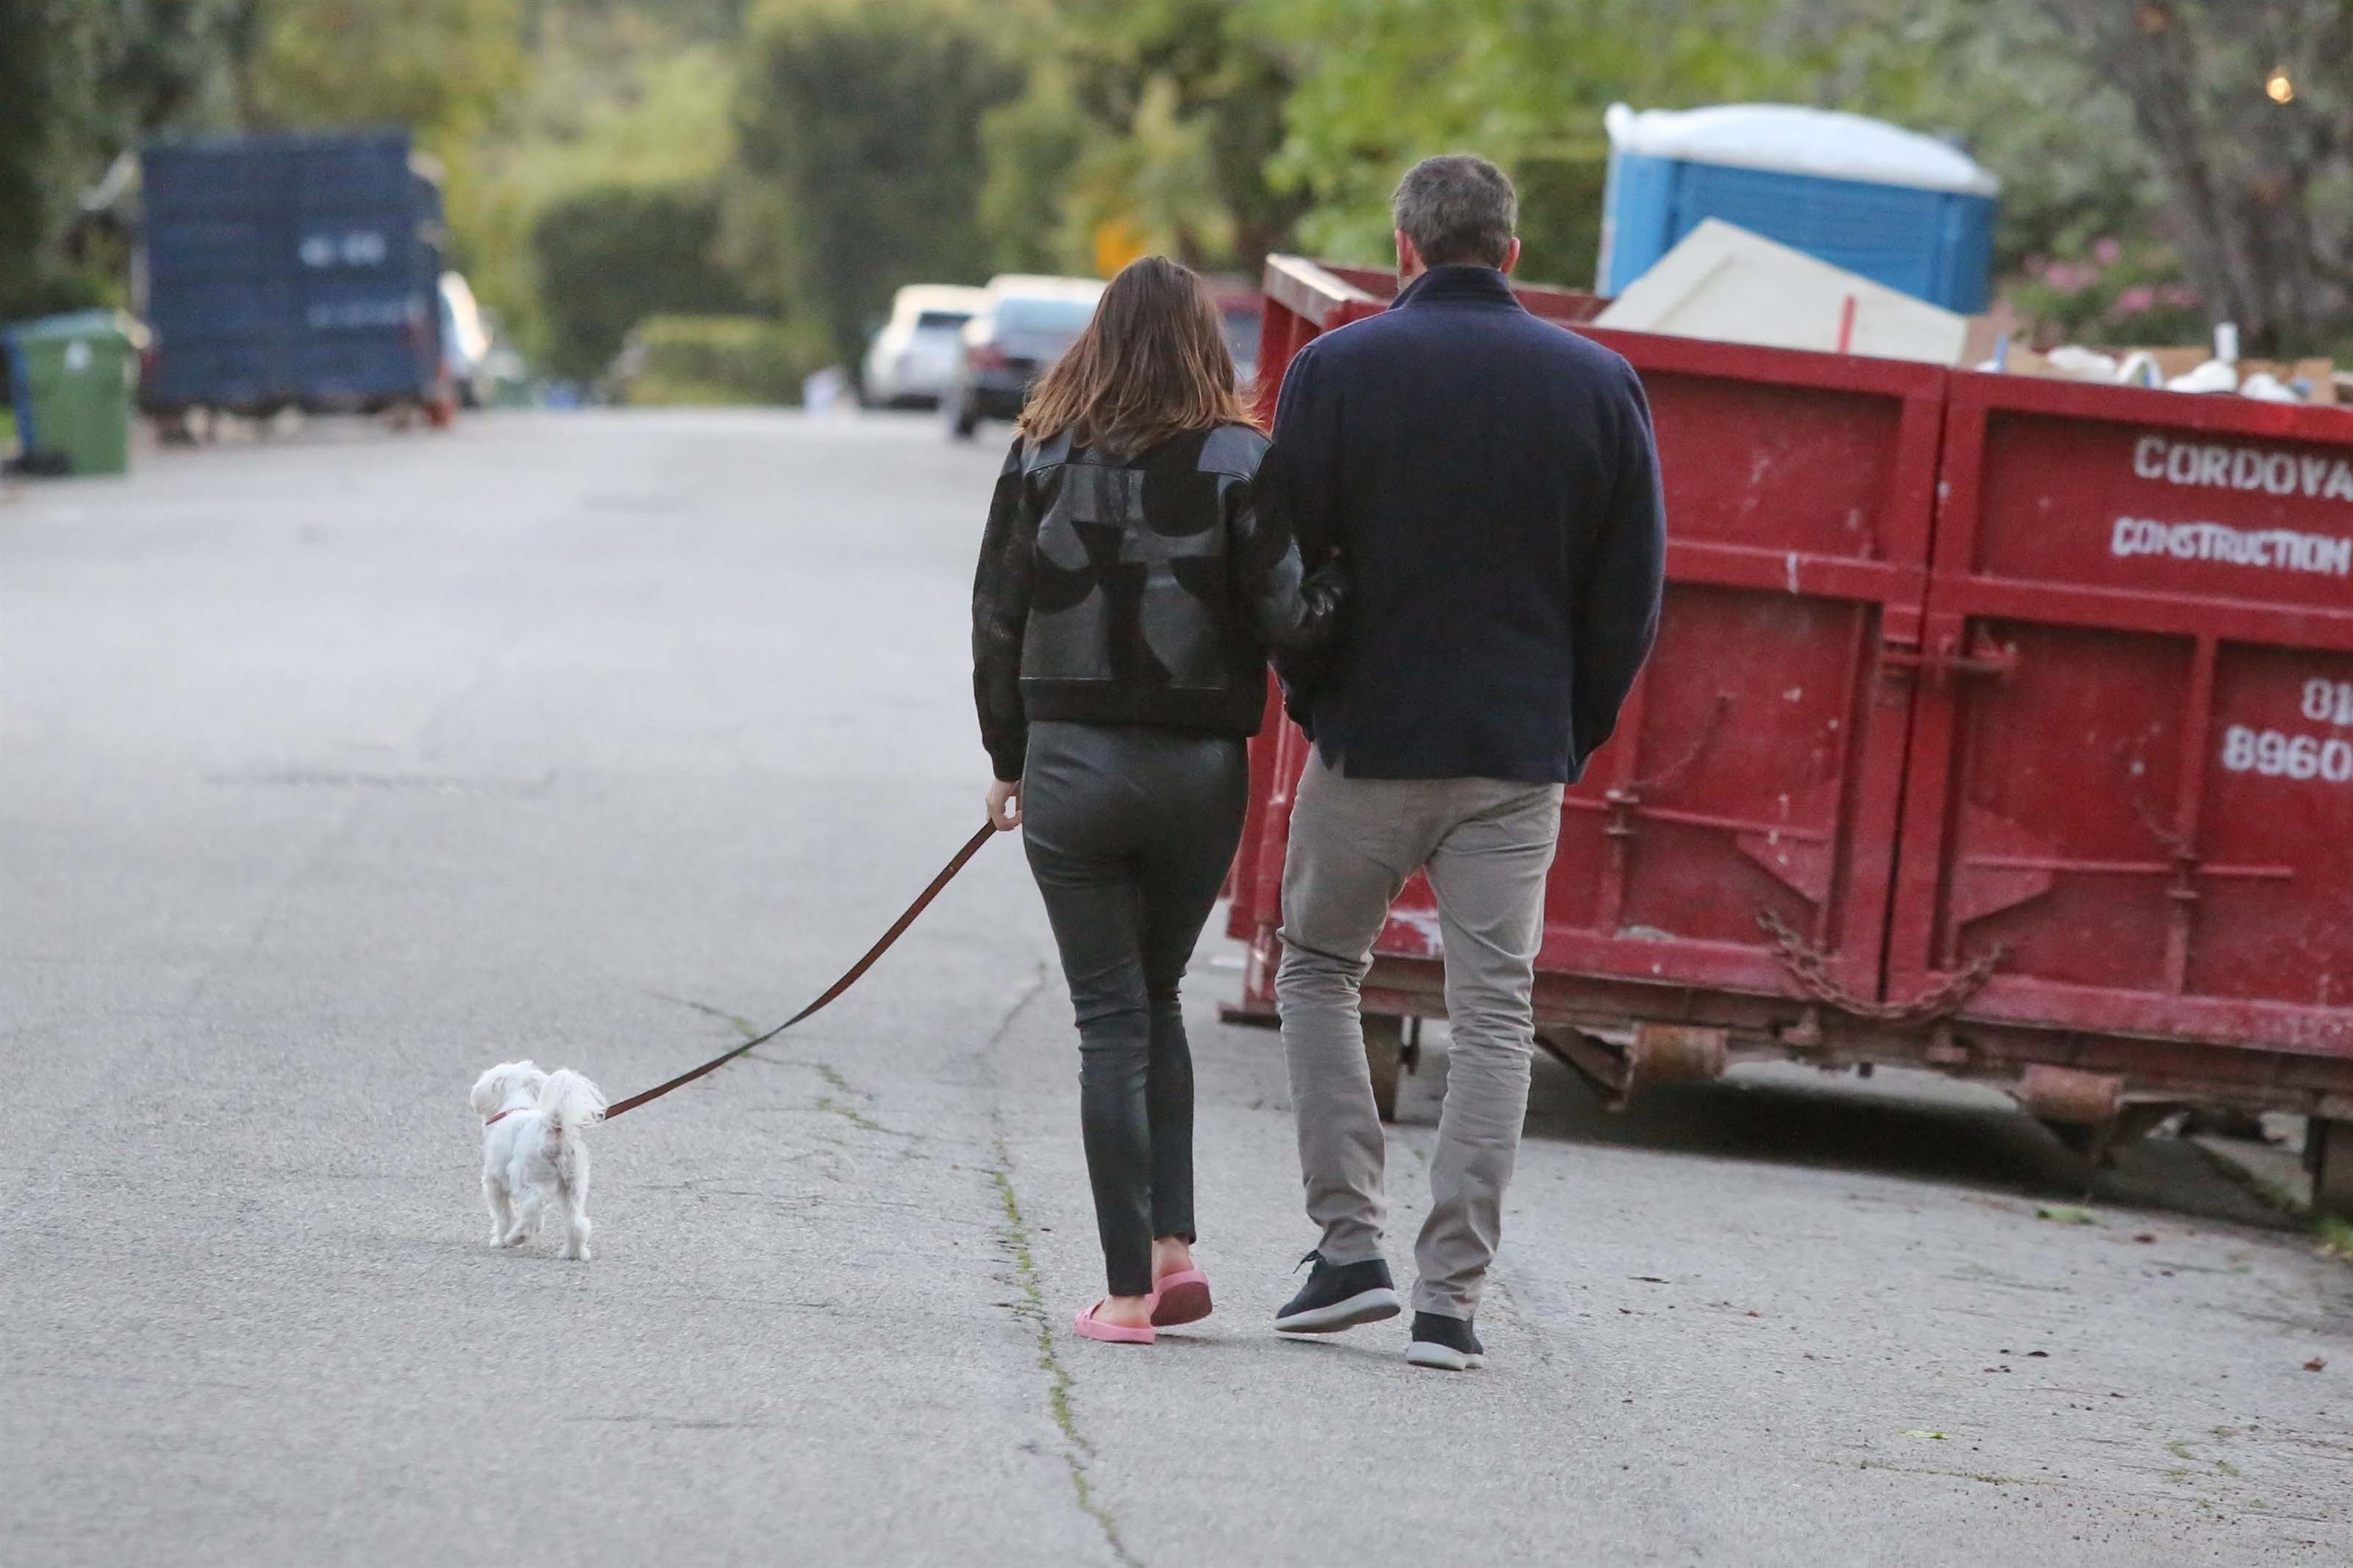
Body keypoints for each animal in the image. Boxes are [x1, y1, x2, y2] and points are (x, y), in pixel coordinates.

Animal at [471, 1053, 607, 1260]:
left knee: (534, 1205)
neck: (516, 1106)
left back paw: (518, 1235)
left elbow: (503, 1214)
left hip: (525, 1176)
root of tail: (553, 1127)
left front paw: (500, 1240)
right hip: (573, 1184)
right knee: (577, 1222)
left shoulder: (494, 1182)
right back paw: (573, 1252)